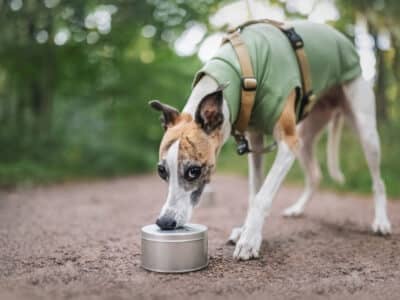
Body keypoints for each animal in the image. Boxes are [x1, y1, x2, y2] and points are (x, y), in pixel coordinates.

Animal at [149, 21, 390, 260]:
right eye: (161, 171)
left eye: (194, 171)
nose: (165, 222)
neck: (243, 70)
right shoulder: (255, 141)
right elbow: (254, 192)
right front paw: (246, 230)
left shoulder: (288, 144)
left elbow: (262, 197)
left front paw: (249, 239)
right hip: (304, 138)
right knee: (315, 175)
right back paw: (297, 208)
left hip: (364, 130)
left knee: (378, 181)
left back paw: (381, 221)